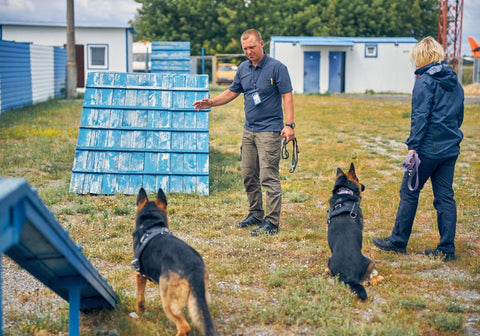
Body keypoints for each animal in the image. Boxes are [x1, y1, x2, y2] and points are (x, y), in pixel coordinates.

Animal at [130, 188, 215, 336]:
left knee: (184, 326)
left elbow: (140, 299)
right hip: (201, 299)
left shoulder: (139, 275)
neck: (151, 224)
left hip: (167, 301)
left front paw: (140, 314)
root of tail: (193, 269)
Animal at [326, 164, 382, 300]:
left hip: (330, 261)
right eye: (358, 178)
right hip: (369, 261)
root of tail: (350, 277)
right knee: (368, 278)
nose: (364, 185)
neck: (344, 192)